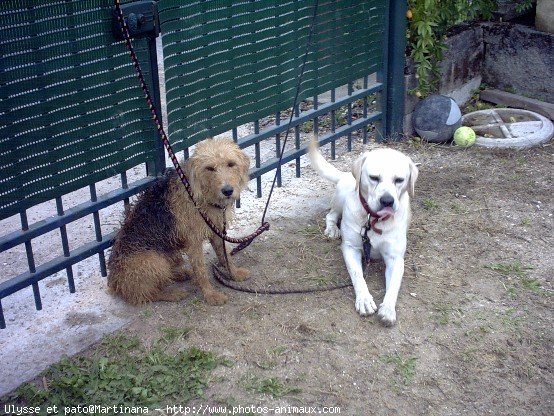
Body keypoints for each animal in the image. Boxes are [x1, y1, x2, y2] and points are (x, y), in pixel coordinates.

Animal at [108, 138, 250, 304]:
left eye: (231, 164)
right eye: (209, 168)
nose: (227, 191)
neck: (199, 195)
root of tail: (114, 282)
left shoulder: (216, 231)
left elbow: (225, 255)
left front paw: (234, 274)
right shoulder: (193, 241)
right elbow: (201, 269)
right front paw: (210, 294)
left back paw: (180, 274)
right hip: (154, 261)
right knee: (147, 294)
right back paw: (172, 293)